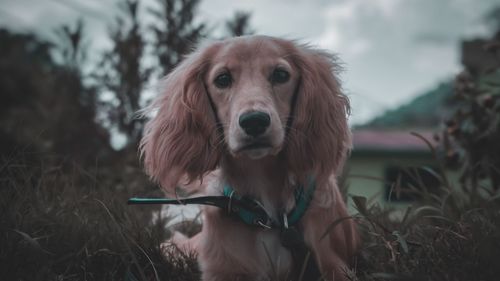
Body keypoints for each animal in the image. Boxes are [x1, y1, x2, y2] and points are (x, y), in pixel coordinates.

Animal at [141, 35, 360, 280]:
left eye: (281, 75)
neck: (268, 217)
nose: (254, 121)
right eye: (222, 79)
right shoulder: (222, 270)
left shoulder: (334, 264)